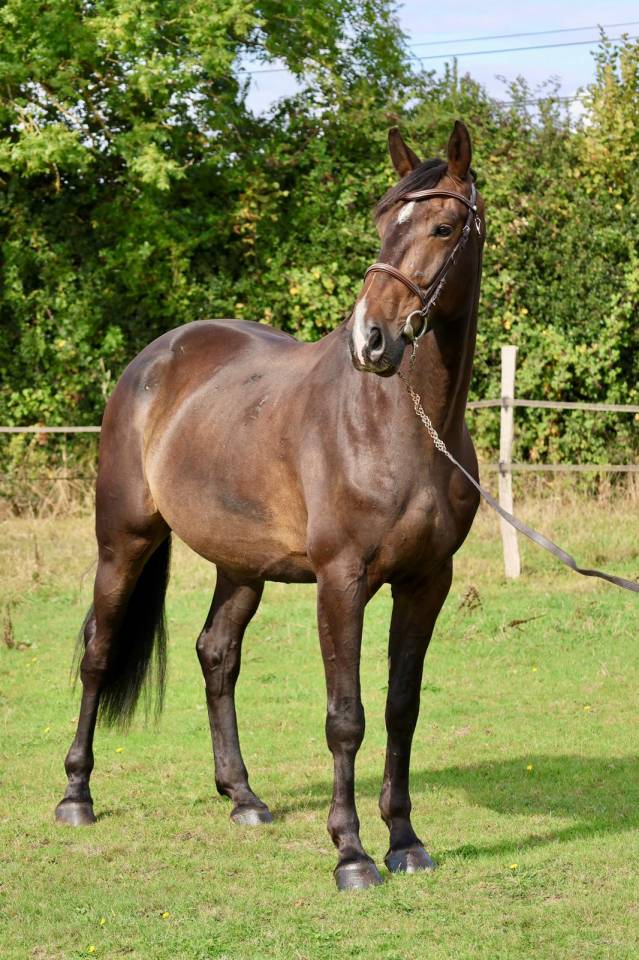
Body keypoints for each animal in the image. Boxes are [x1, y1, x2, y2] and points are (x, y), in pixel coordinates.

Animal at [55, 120, 486, 891]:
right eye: (382, 222)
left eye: (442, 226)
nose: (370, 339)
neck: (398, 428)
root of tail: (153, 360)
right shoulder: (341, 581)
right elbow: (345, 717)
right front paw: (351, 853)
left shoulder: (426, 582)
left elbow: (400, 709)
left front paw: (404, 840)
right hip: (123, 541)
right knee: (99, 654)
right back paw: (77, 795)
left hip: (240, 565)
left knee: (215, 654)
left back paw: (243, 797)